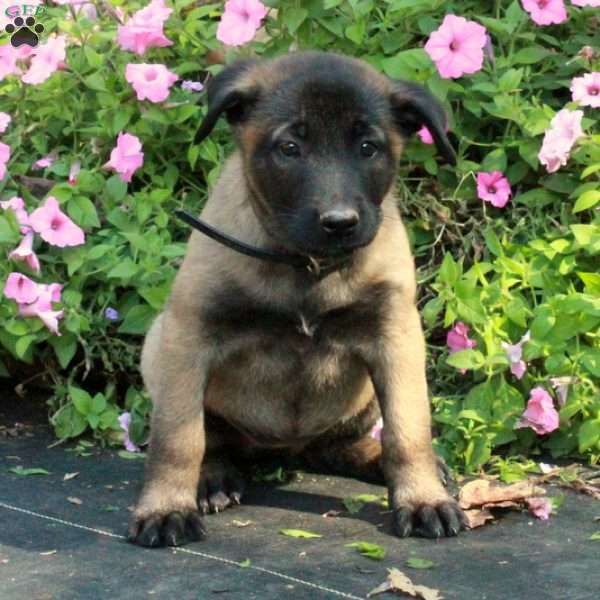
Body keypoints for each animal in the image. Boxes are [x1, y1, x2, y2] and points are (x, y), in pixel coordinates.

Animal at [127, 52, 464, 548]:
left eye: (368, 148)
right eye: (289, 148)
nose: (340, 222)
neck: (306, 266)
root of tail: (285, 450)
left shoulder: (395, 337)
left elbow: (407, 429)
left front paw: (422, 499)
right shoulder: (190, 336)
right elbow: (179, 437)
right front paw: (167, 508)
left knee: (341, 446)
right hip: (159, 346)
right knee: (214, 439)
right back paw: (213, 479)